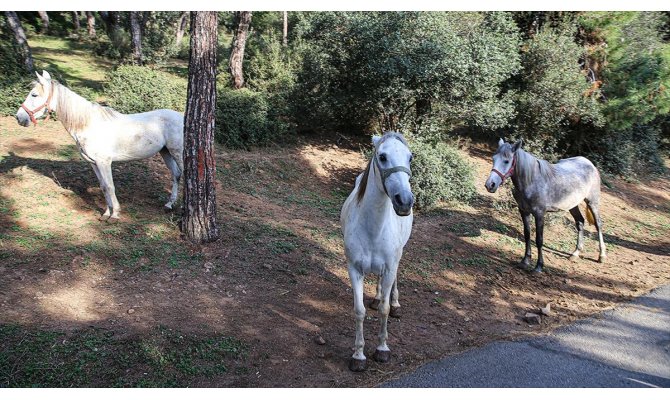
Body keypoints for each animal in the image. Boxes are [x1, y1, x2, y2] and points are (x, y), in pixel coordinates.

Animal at [15, 71, 184, 222]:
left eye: (34, 95)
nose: (19, 118)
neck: (89, 124)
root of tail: (182, 117)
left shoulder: (104, 162)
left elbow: (110, 186)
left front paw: (114, 215)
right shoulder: (94, 163)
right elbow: (103, 186)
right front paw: (105, 213)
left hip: (178, 154)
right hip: (166, 153)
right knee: (176, 175)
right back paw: (169, 204)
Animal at [342, 131, 414, 372]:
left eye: (410, 158)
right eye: (382, 157)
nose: (405, 201)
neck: (373, 228)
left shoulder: (391, 266)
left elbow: (384, 310)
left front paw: (382, 349)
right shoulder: (354, 269)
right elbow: (359, 310)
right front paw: (358, 355)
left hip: (399, 255)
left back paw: (396, 304)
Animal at [486, 139, 608, 274]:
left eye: (506, 161)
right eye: (493, 158)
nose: (490, 184)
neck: (531, 181)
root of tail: (590, 164)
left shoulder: (539, 214)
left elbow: (539, 240)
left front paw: (539, 266)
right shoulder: (524, 211)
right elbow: (527, 235)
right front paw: (525, 261)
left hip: (593, 202)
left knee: (598, 224)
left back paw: (602, 256)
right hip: (573, 205)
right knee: (580, 222)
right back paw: (575, 253)